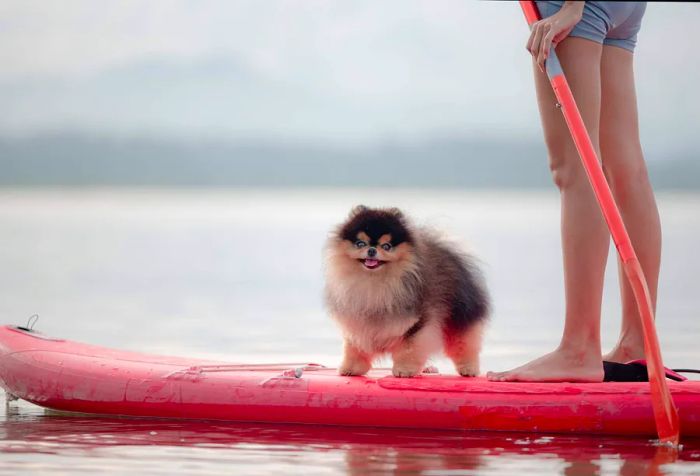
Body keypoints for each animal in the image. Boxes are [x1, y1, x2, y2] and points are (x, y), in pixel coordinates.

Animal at [326, 206, 490, 378]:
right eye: (360, 243)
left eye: (386, 246)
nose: (371, 250)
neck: (374, 283)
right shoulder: (357, 323)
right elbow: (354, 349)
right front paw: (351, 368)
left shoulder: (415, 324)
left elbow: (409, 349)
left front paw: (405, 370)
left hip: (459, 316)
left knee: (464, 344)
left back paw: (469, 369)